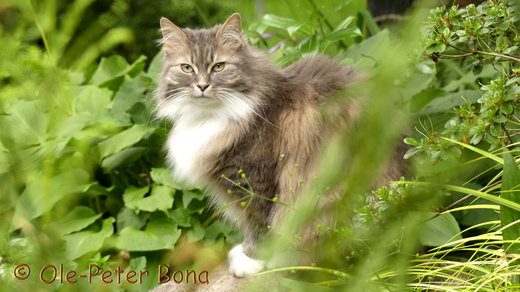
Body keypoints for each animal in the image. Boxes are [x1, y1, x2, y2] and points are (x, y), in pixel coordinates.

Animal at [154, 13, 402, 278]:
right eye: (186, 68)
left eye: (218, 66)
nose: (202, 86)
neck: (210, 117)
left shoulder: (256, 181)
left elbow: (259, 223)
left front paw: (252, 260)